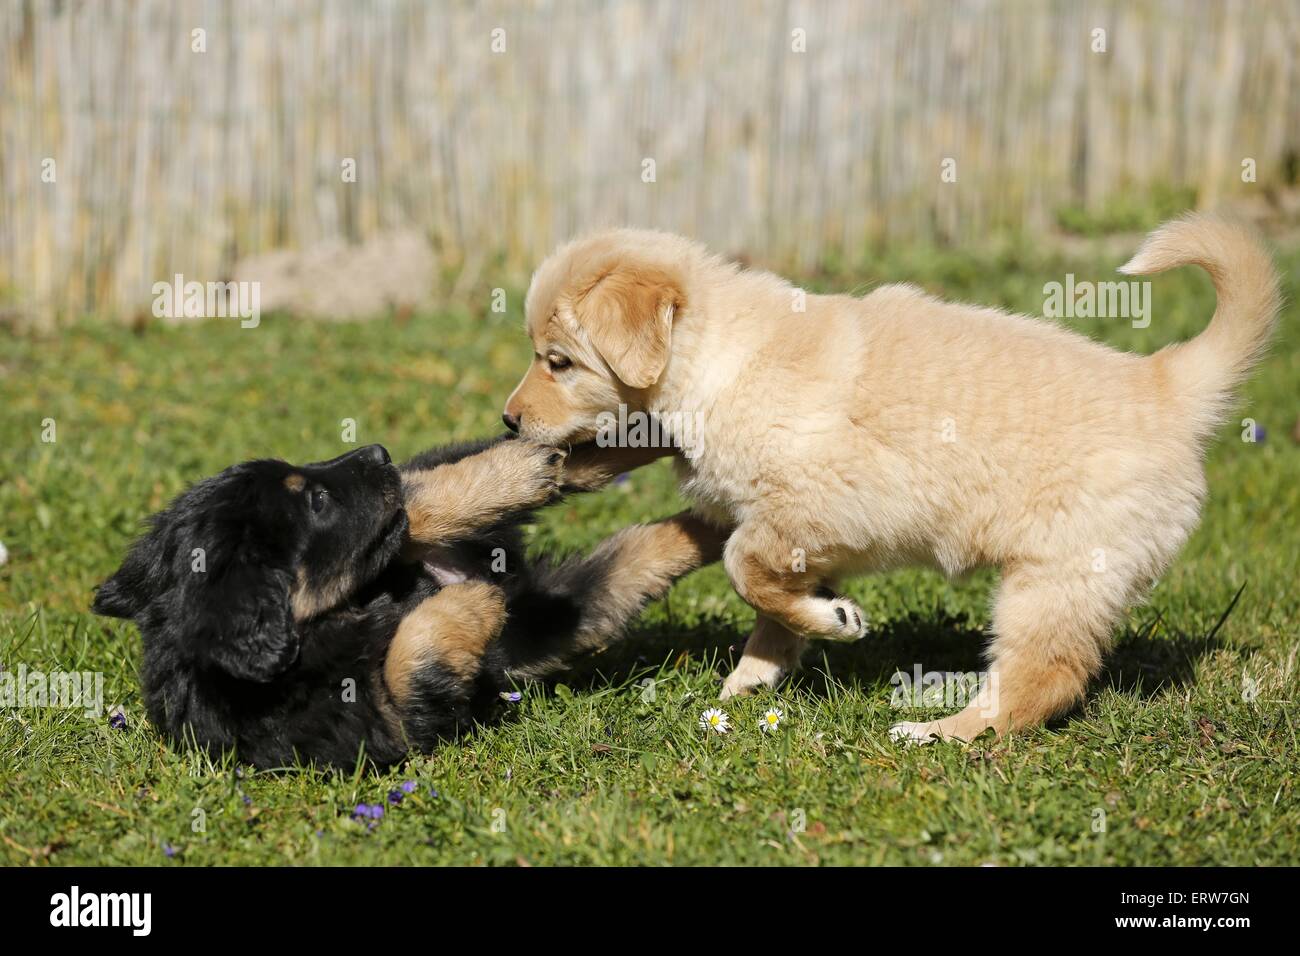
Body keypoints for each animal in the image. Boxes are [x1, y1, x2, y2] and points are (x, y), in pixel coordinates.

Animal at [91, 442, 722, 770]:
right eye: (315, 500)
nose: (378, 450)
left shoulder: (396, 540)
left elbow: (421, 508)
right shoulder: (386, 727)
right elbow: (411, 653)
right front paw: (470, 602)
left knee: (458, 483)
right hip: (563, 615)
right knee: (637, 557)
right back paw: (715, 526)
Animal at [499, 221, 1279, 743]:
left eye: (559, 362)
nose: (507, 421)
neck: (720, 361)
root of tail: (1167, 385)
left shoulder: (819, 507)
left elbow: (744, 568)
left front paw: (828, 625)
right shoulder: (792, 528)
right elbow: (770, 600)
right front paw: (758, 674)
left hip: (1058, 577)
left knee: (1042, 680)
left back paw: (944, 734)